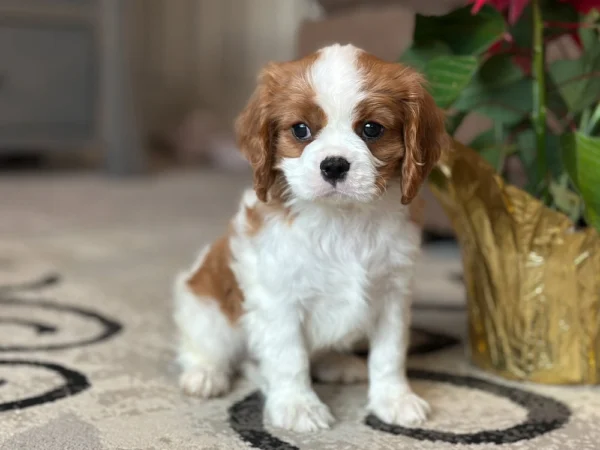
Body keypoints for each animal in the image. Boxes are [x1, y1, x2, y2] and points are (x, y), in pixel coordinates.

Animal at [171, 44, 448, 432]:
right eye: (300, 130)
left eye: (371, 129)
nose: (333, 165)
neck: (342, 220)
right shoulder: (279, 299)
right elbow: (290, 357)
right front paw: (298, 405)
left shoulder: (393, 294)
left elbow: (389, 353)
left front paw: (394, 399)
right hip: (205, 308)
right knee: (206, 346)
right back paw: (205, 374)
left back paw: (338, 363)